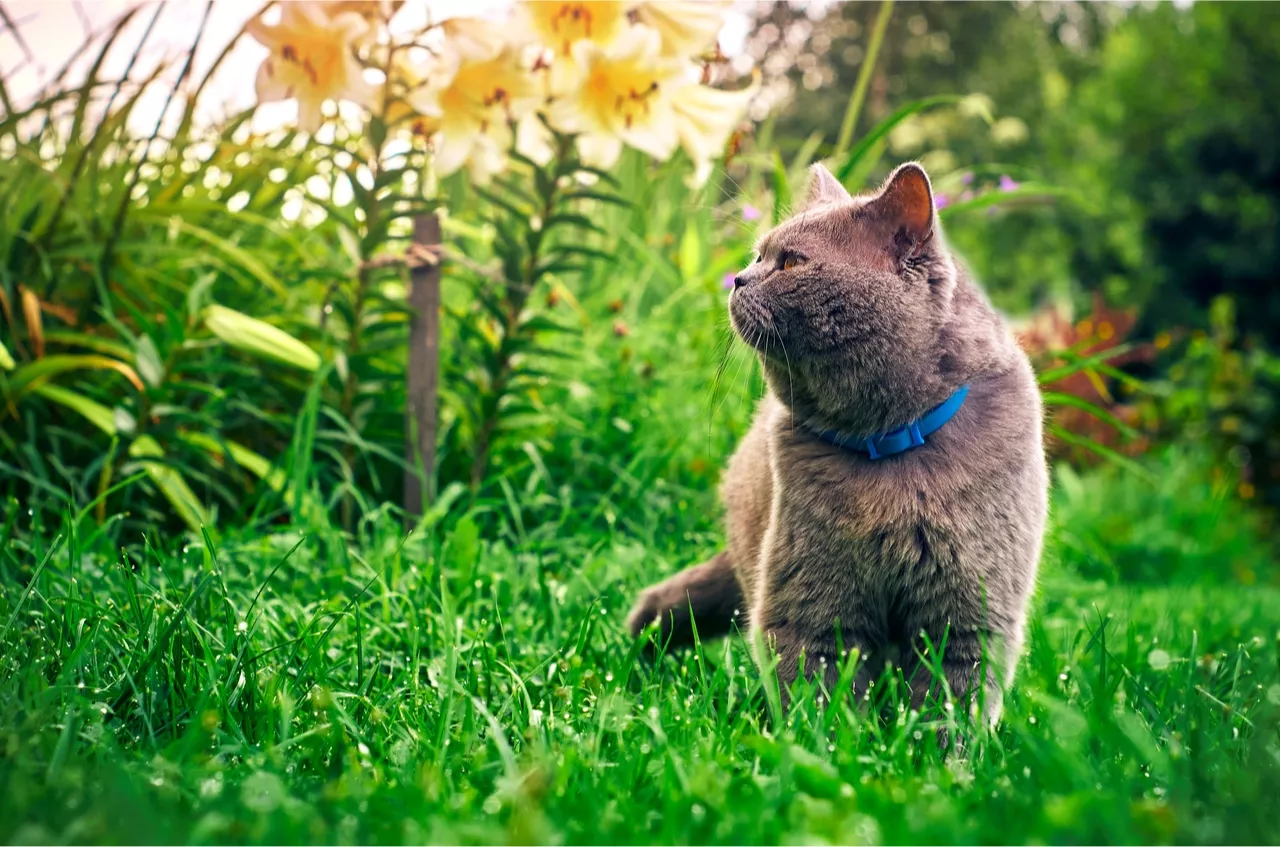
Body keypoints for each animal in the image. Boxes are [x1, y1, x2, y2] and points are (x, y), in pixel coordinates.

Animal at [624, 161, 1044, 721]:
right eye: (757, 255)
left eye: (791, 261)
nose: (737, 279)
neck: (889, 444)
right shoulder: (811, 600)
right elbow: (816, 692)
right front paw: (823, 739)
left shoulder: (970, 609)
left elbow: (950, 702)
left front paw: (936, 747)